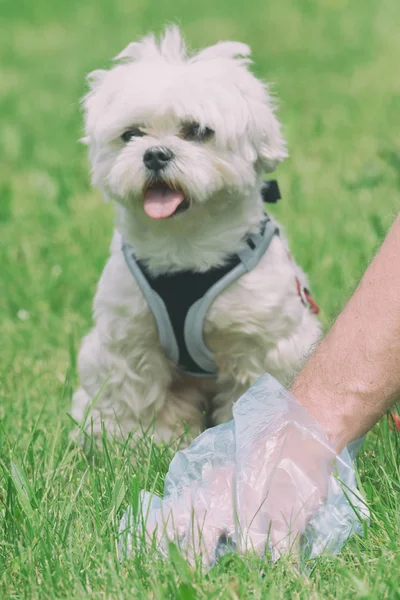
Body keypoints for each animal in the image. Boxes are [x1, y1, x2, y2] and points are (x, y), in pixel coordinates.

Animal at [72, 24, 322, 446]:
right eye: (131, 135)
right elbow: (137, 396)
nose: (155, 153)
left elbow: (249, 393)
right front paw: (140, 443)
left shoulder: (260, 342)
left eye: (199, 131)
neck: (184, 245)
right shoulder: (131, 339)